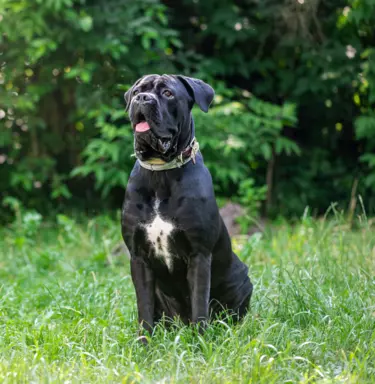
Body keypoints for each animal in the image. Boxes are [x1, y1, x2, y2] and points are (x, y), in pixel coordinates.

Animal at [122, 75, 254, 340]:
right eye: (138, 91)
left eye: (168, 93)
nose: (143, 98)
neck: (161, 174)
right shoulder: (138, 257)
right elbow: (144, 308)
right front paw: (144, 343)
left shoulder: (199, 254)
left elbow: (199, 304)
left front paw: (201, 342)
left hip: (242, 279)